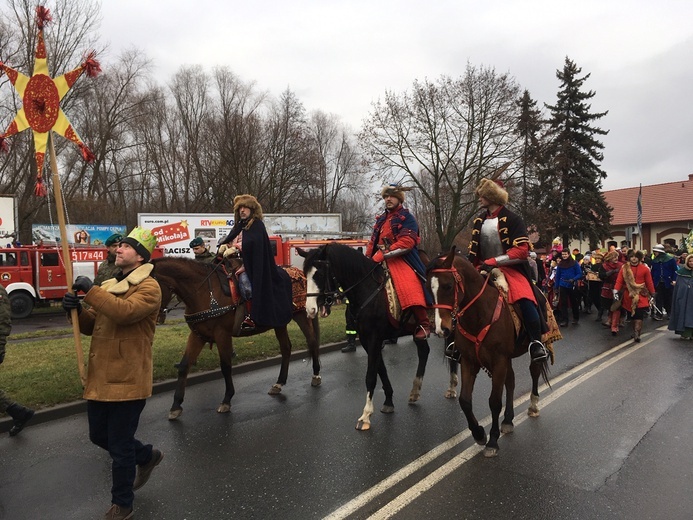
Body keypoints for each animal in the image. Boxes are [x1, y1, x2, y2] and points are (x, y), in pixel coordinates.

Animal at [150, 258, 320, 420]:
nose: (156, 318)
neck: (205, 292)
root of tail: (299, 273)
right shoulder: (198, 336)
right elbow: (184, 366)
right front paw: (176, 405)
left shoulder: (222, 334)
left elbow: (225, 367)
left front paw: (226, 399)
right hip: (280, 322)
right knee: (286, 348)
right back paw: (279, 383)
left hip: (301, 314)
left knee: (312, 341)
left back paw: (316, 375)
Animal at [296, 244, 454, 430]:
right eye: (304, 274)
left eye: (319, 274)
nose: (310, 309)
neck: (366, 289)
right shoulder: (368, 340)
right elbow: (381, 370)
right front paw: (388, 402)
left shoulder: (374, 339)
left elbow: (371, 376)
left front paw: (365, 416)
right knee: (424, 352)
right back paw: (416, 391)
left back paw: (452, 387)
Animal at [424, 246, 548, 458]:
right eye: (429, 289)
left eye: (448, 286)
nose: (442, 330)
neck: (479, 314)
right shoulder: (469, 361)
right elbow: (465, 400)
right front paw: (479, 433)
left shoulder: (498, 361)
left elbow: (494, 401)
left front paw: (492, 440)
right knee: (511, 381)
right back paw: (508, 420)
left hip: (530, 351)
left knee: (534, 372)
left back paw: (532, 405)